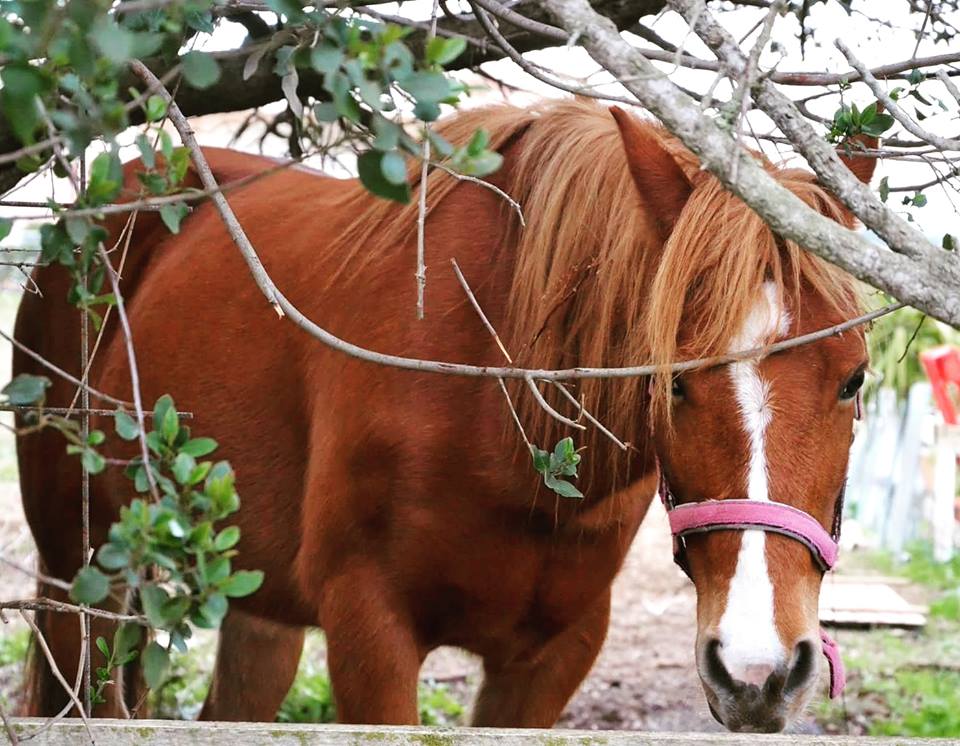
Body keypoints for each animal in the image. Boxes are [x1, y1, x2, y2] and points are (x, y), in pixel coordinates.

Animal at [14, 98, 876, 732]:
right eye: (670, 384)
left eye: (854, 379)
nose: (757, 669)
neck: (502, 407)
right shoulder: (371, 635)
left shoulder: (551, 659)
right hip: (82, 575)